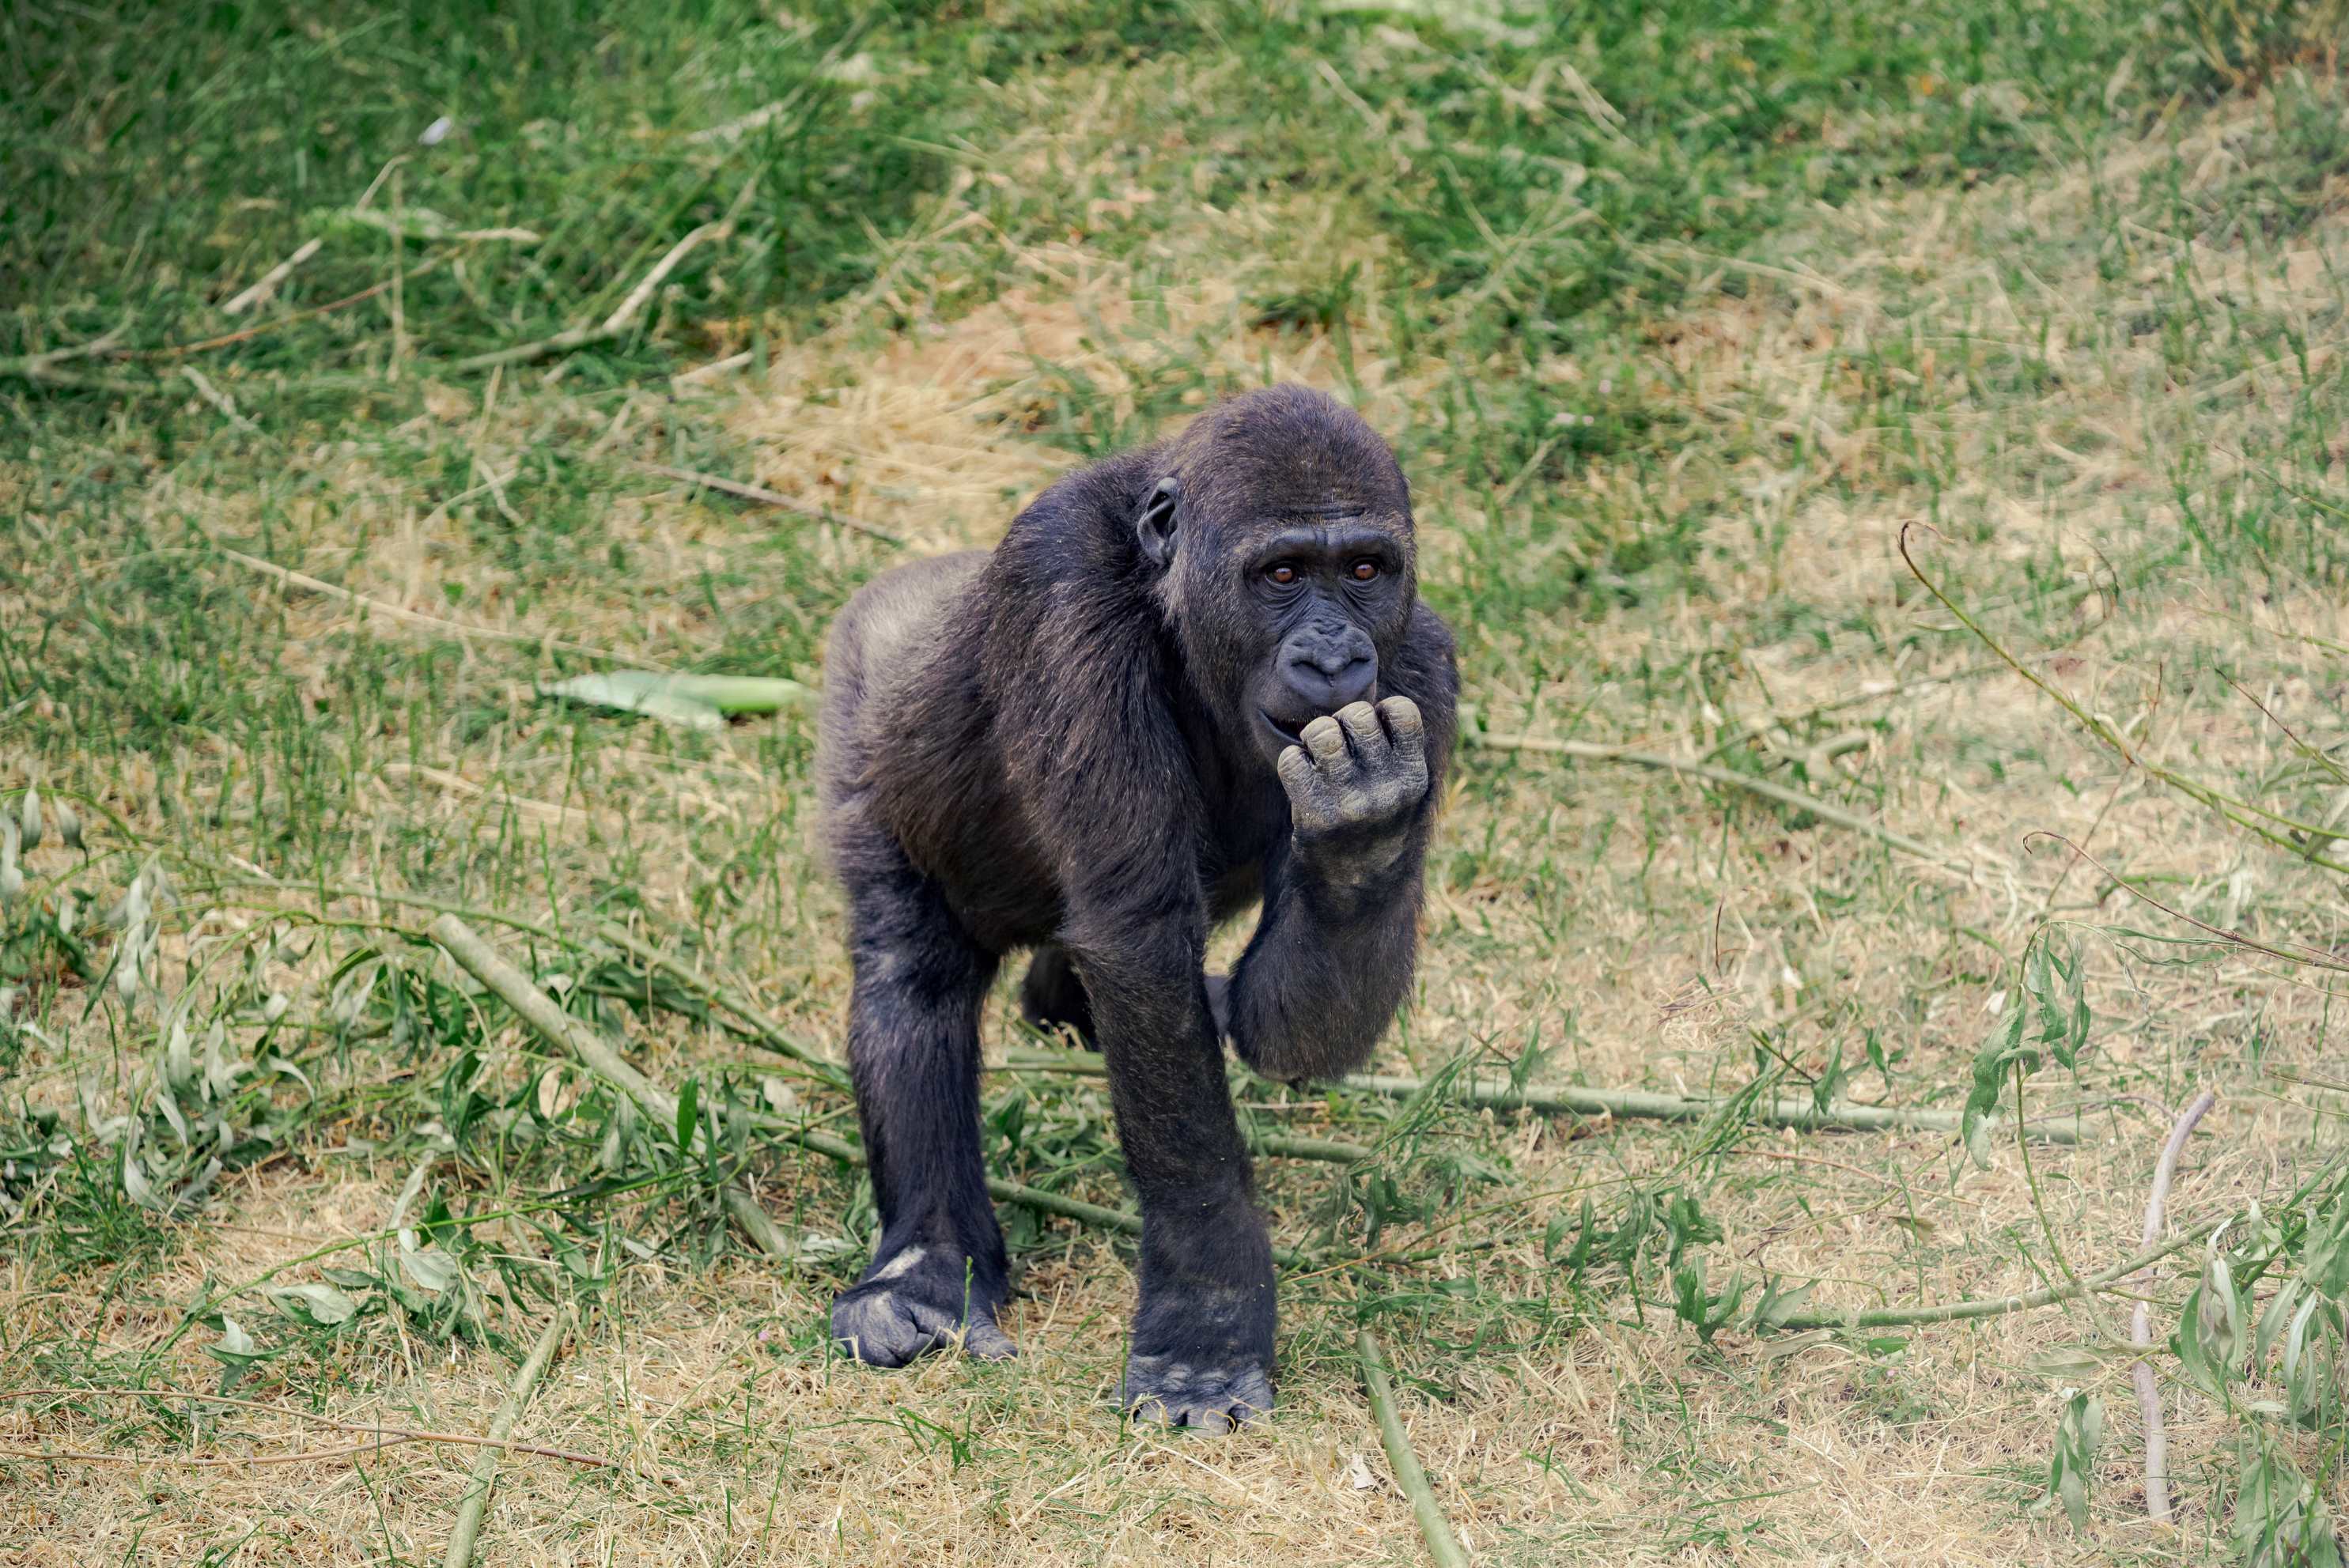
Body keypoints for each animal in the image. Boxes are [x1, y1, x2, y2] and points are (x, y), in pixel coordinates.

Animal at [815, 384, 1457, 1428]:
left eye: (1366, 569)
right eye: (1282, 573)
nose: (1333, 659)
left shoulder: (1426, 671)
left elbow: (1282, 1032)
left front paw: (1363, 839)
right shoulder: (1059, 589)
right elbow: (1138, 942)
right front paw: (1208, 1318)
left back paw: (1063, 1000)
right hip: (868, 685)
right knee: (910, 975)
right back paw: (926, 1268)